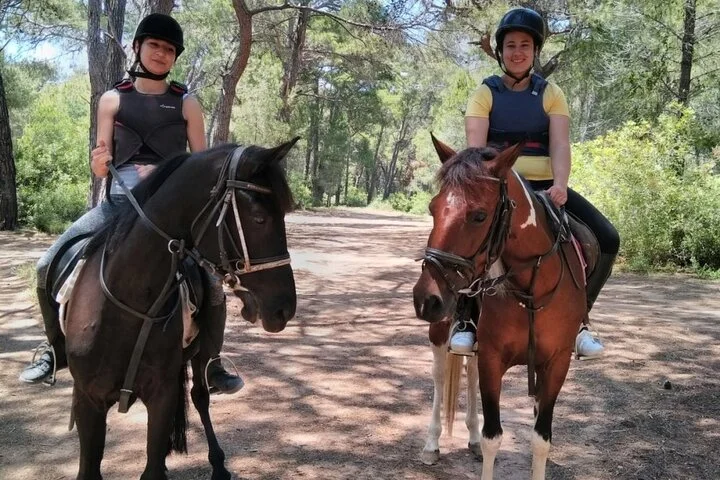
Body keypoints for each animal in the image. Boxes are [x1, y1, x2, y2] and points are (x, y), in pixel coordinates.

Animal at [62, 140, 299, 480]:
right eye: (258, 218)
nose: (284, 309)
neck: (127, 304)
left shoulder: (162, 396)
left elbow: (153, 467)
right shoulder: (87, 401)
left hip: (200, 355)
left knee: (200, 396)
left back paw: (218, 464)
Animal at [413, 135, 592, 480]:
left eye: (480, 216)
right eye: (432, 209)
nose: (425, 298)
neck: (531, 287)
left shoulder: (556, 362)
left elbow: (541, 439)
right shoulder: (493, 357)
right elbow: (493, 438)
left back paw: (468, 437)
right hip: (440, 330)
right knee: (440, 378)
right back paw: (431, 445)